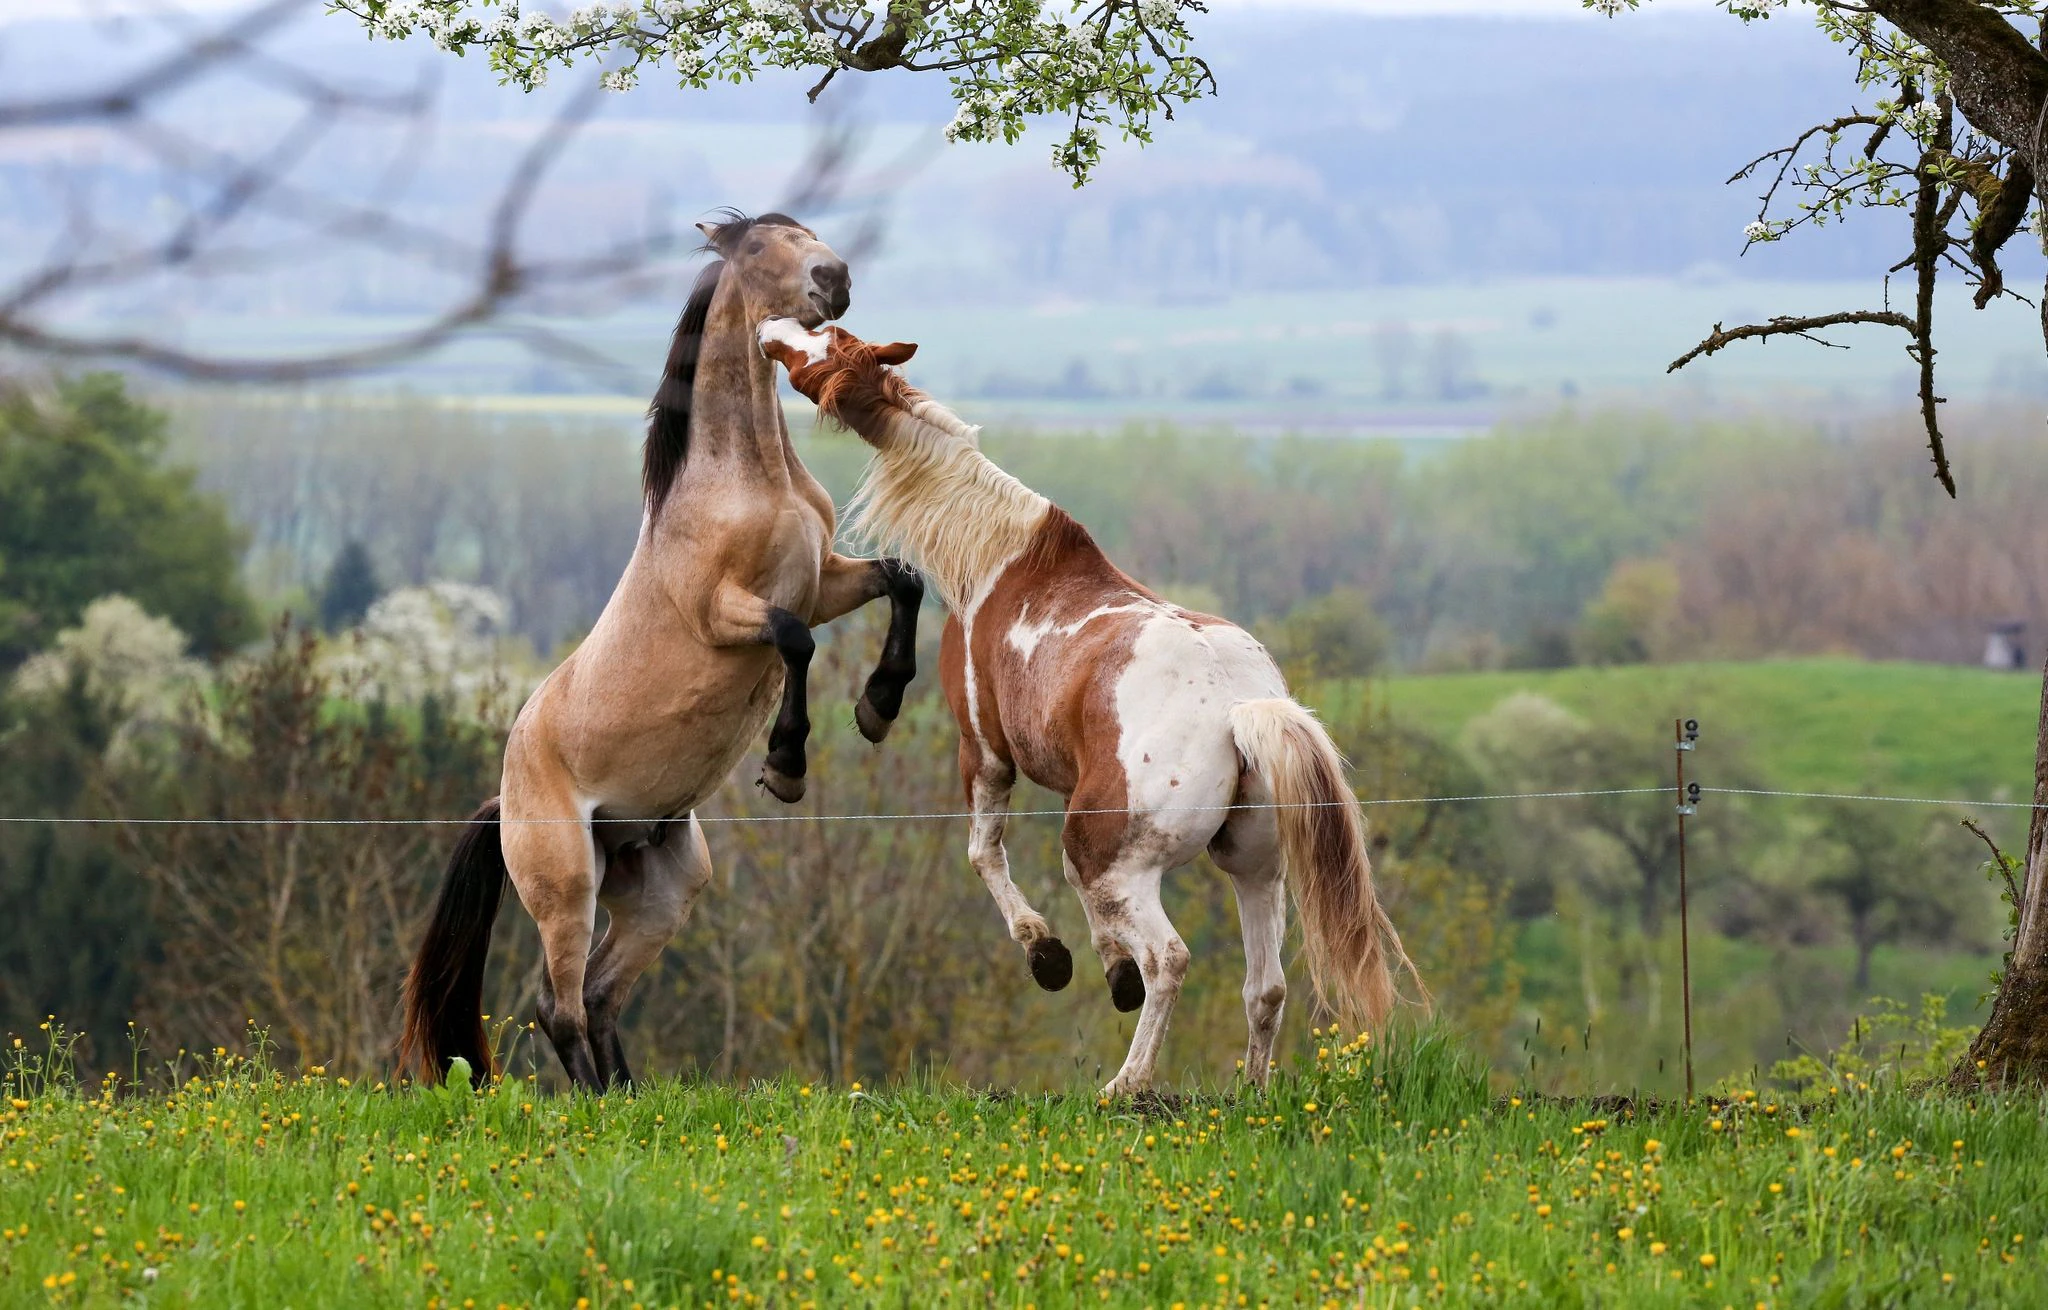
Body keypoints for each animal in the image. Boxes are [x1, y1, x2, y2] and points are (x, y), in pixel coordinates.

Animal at [398, 214, 925, 1092]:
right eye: (761, 248)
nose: (836, 279)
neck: (744, 479)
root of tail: (504, 798)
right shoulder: (726, 613)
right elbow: (796, 639)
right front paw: (786, 765)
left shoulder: (825, 580)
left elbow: (903, 580)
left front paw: (879, 706)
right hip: (567, 885)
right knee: (558, 1005)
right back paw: (591, 1105)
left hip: (662, 889)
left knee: (600, 995)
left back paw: (625, 1097)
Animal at [758, 318, 1424, 1096]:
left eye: (821, 344)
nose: (769, 329)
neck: (999, 556)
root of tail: (1238, 710)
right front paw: (1109, 968)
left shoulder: (985, 751)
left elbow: (984, 855)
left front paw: (1049, 955)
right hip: (1254, 867)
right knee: (1266, 987)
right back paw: (1248, 1091)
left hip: (1114, 852)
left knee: (1170, 958)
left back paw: (1126, 1084)